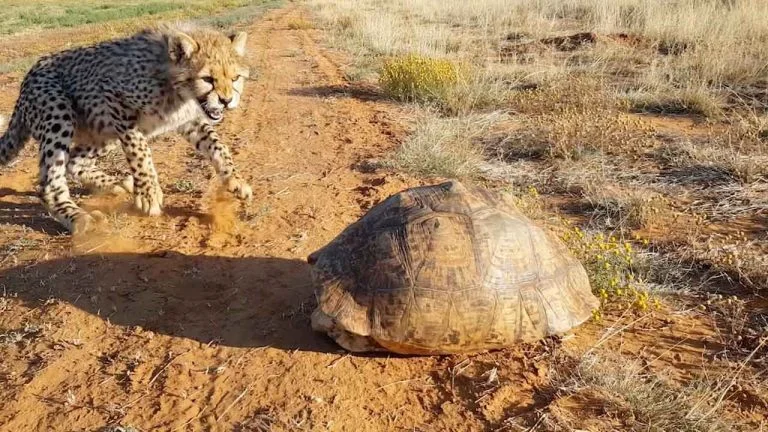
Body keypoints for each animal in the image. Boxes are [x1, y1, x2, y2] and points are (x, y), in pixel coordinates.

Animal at [0, 24, 253, 234]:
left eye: (235, 78)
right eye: (208, 79)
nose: (226, 101)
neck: (174, 84)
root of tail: (28, 77)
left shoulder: (188, 120)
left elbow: (218, 145)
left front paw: (236, 180)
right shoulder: (113, 98)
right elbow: (140, 151)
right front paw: (149, 194)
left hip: (104, 131)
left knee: (74, 160)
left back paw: (115, 184)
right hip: (59, 114)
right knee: (49, 185)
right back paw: (79, 217)